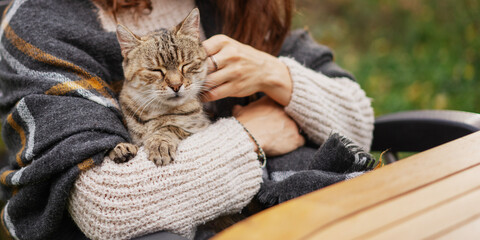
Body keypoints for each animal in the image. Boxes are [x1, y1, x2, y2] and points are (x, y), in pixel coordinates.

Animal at [109, 8, 210, 166]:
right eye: (155, 70)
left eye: (185, 64)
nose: (176, 85)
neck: (156, 111)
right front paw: (120, 148)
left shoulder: (200, 126)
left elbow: (170, 127)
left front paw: (160, 142)